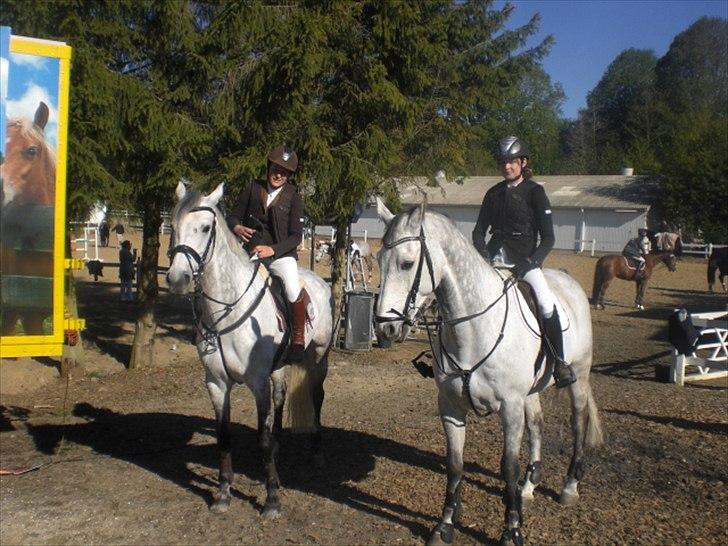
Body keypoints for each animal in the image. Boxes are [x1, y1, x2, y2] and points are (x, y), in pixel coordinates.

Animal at [166, 181, 334, 516]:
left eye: (205, 228)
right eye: (173, 226)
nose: (178, 279)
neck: (226, 310)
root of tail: (318, 280)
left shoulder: (257, 383)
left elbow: (262, 439)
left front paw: (271, 498)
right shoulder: (216, 383)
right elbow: (224, 437)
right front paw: (223, 492)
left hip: (319, 357)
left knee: (316, 396)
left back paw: (317, 452)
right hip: (280, 366)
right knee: (281, 397)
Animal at [372, 200, 604, 544]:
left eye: (406, 263)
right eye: (378, 259)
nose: (385, 329)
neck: (474, 330)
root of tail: (568, 282)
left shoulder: (510, 407)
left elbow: (508, 466)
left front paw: (512, 530)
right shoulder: (451, 407)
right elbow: (455, 464)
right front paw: (445, 525)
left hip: (578, 378)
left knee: (578, 423)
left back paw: (569, 487)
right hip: (531, 392)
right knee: (537, 425)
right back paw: (529, 486)